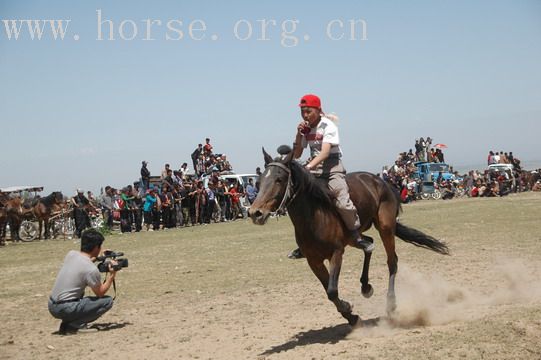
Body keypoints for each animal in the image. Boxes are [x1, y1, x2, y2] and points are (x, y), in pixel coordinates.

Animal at [249, 148, 448, 328]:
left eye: (279, 179)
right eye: (259, 182)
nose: (255, 213)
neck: (314, 215)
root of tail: (380, 181)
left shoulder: (336, 253)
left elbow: (331, 290)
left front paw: (349, 311)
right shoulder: (314, 261)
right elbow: (328, 290)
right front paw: (351, 316)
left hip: (385, 227)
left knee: (392, 261)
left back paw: (390, 304)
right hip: (355, 237)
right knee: (369, 244)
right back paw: (365, 286)